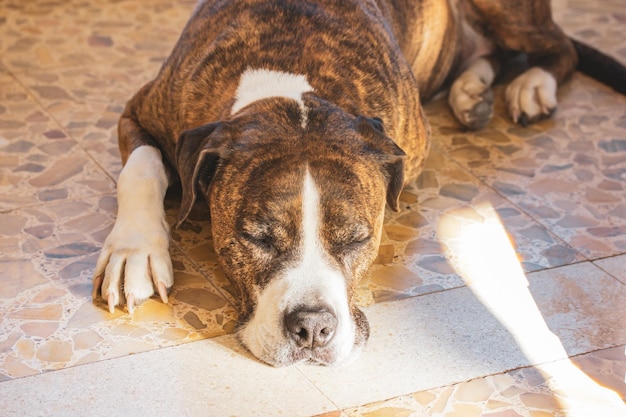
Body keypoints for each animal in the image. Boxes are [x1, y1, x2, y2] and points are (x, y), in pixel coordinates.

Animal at [91, 0, 624, 364]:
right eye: (256, 238)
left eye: (357, 240)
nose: (312, 327)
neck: (287, 84)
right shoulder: (141, 109)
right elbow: (141, 168)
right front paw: (134, 252)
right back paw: (472, 90)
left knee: (558, 47)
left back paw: (530, 85)